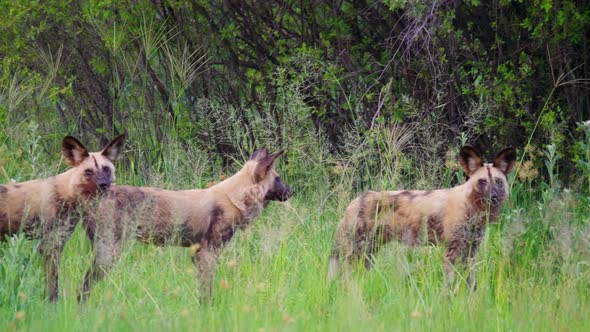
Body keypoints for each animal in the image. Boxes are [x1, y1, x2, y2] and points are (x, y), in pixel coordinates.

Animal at [0, 134, 126, 302]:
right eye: (88, 171)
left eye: (106, 169)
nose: (103, 184)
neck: (68, 193)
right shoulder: (51, 246)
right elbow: (53, 288)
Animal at [80, 147, 294, 302]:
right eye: (278, 178)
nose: (291, 192)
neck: (235, 197)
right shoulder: (208, 254)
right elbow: (207, 293)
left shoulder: (197, 254)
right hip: (110, 252)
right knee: (84, 286)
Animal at [328, 147, 520, 290]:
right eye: (482, 182)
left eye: (498, 181)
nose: (494, 197)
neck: (471, 208)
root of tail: (353, 202)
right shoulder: (451, 252)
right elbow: (448, 287)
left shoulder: (470, 252)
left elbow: (471, 285)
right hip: (355, 251)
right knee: (344, 278)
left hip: (369, 253)